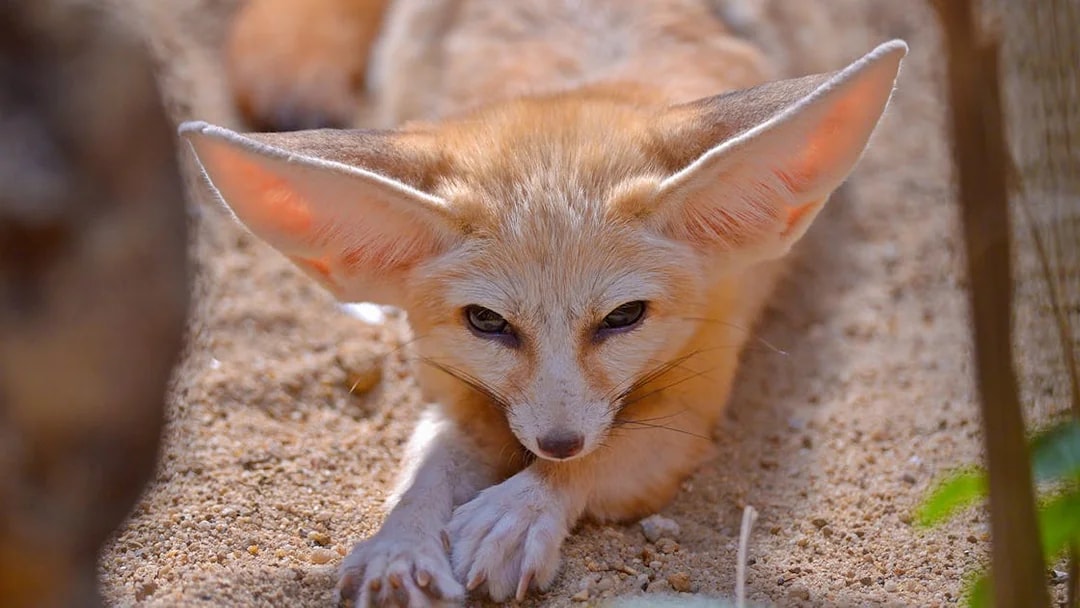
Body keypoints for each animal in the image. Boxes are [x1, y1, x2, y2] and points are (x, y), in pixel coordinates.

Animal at [184, 1, 907, 605]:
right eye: (486, 322)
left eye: (623, 317)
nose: (558, 442)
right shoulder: (466, 393)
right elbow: (425, 465)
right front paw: (400, 544)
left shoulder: (689, 410)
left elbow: (603, 456)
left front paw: (521, 511)